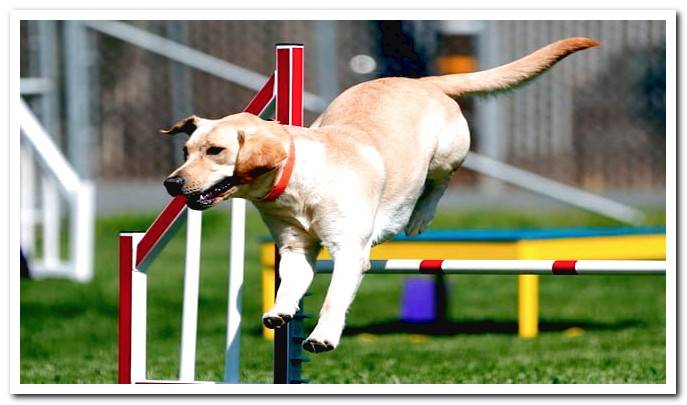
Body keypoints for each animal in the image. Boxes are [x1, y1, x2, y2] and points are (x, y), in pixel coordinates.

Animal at [161, 38, 596, 354]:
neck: (296, 181)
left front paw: (321, 336)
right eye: (186, 151)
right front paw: (280, 312)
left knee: (441, 181)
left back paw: (419, 217)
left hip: (447, 153)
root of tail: (421, 81)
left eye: (215, 151)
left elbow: (334, 297)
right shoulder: (295, 249)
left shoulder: (349, 253)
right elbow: (288, 285)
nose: (172, 184)